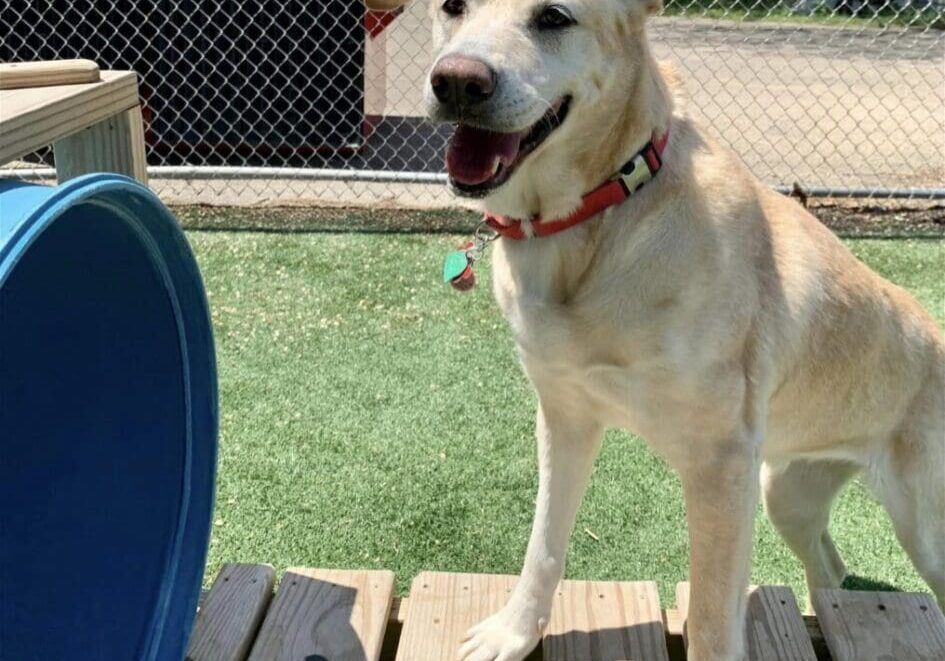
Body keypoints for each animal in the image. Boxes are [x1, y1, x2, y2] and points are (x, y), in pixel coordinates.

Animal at [366, 1, 940, 660]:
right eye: (452, 8)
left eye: (554, 17)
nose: (458, 82)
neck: (600, 214)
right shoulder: (565, 418)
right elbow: (543, 546)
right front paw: (514, 632)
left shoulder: (722, 467)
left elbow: (713, 621)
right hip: (787, 493)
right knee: (830, 565)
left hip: (923, 530)